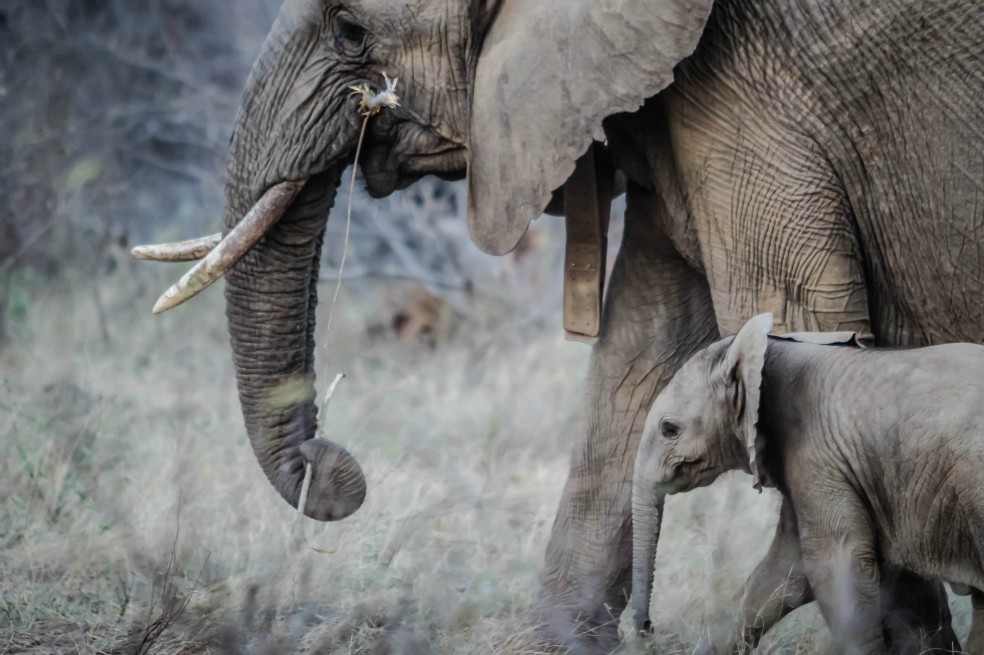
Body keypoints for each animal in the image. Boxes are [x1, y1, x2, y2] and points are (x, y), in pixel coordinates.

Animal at [631, 313, 984, 654]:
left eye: (669, 429)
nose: (647, 628)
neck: (768, 352)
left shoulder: (819, 454)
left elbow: (836, 567)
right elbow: (782, 572)